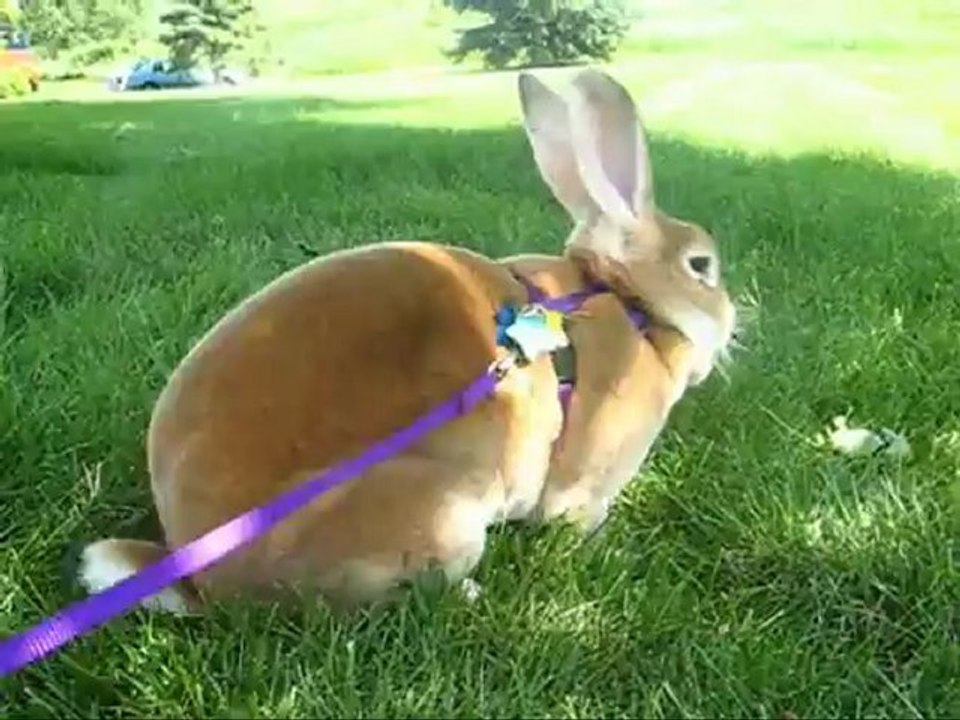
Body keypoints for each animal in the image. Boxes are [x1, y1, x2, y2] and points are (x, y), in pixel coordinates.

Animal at [76, 68, 737, 615]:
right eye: (701, 265)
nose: (733, 323)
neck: (629, 303)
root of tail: (208, 583)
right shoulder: (583, 482)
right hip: (439, 511)